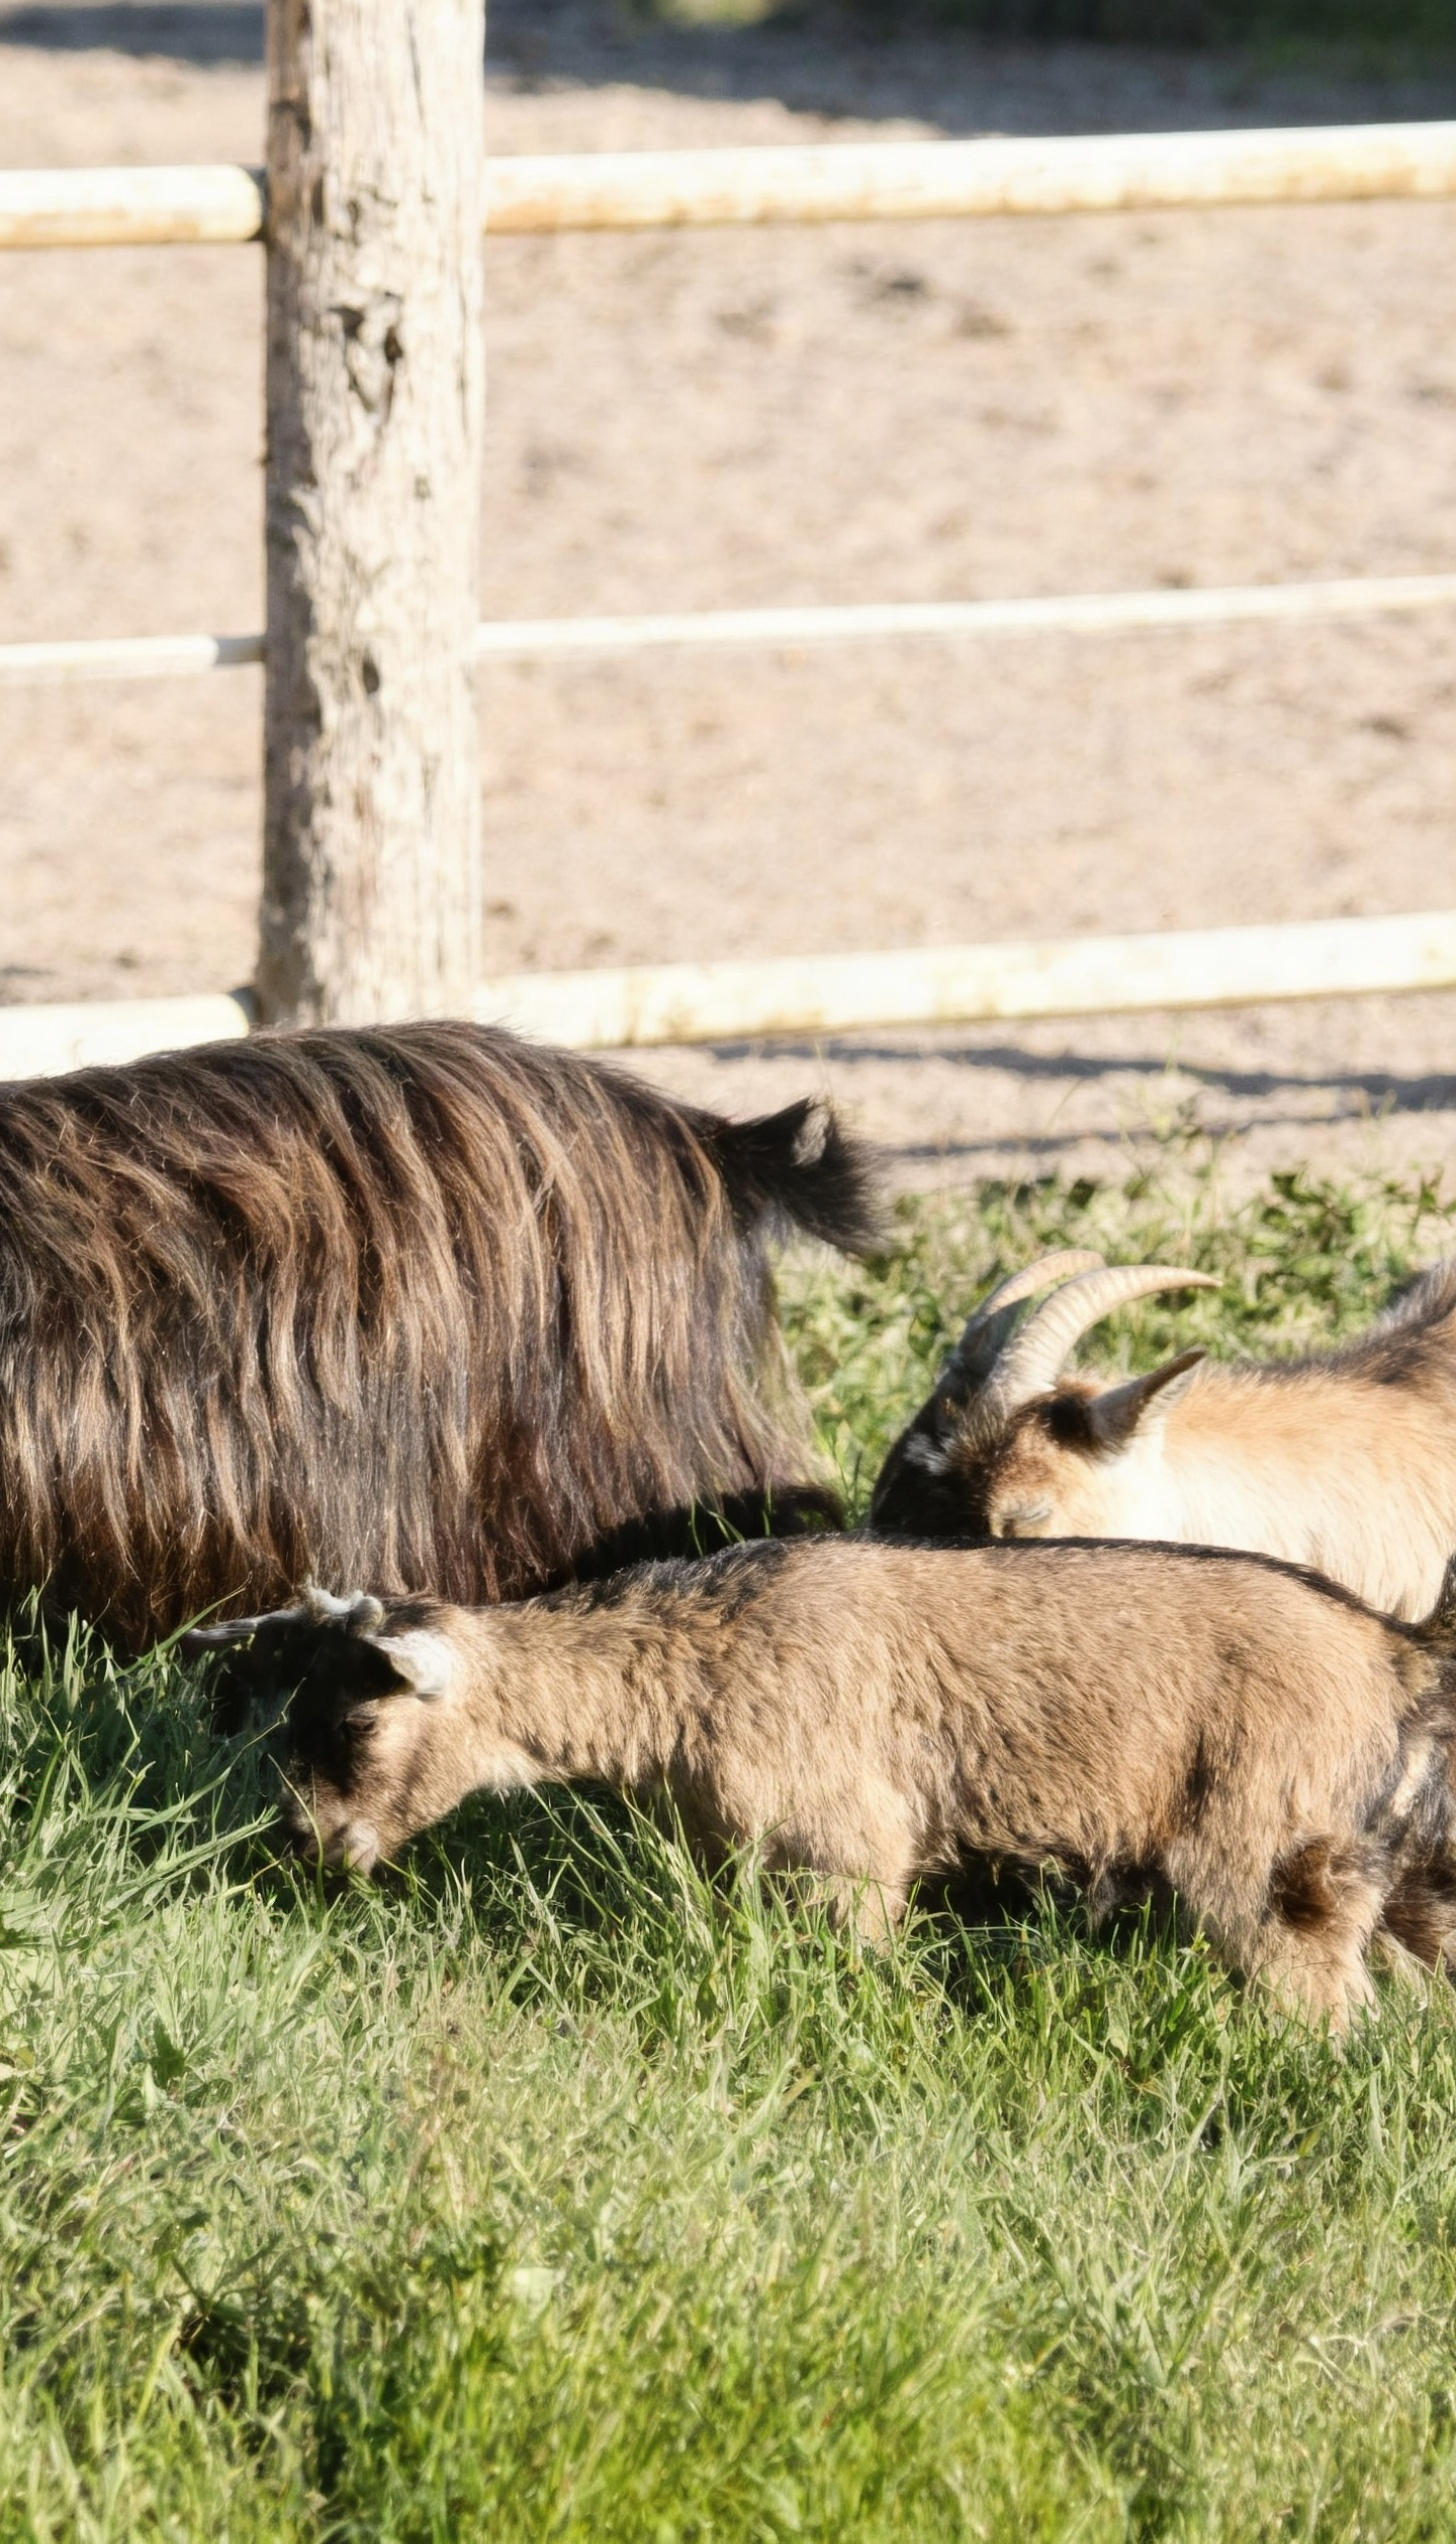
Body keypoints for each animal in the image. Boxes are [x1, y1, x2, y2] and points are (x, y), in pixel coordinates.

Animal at [189, 1536, 1456, 2031]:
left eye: (360, 1719)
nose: (305, 1844)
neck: (687, 1665)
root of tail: (1393, 1654)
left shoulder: (846, 1857)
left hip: (1266, 1857)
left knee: (1328, 2003)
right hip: (1371, 1872)